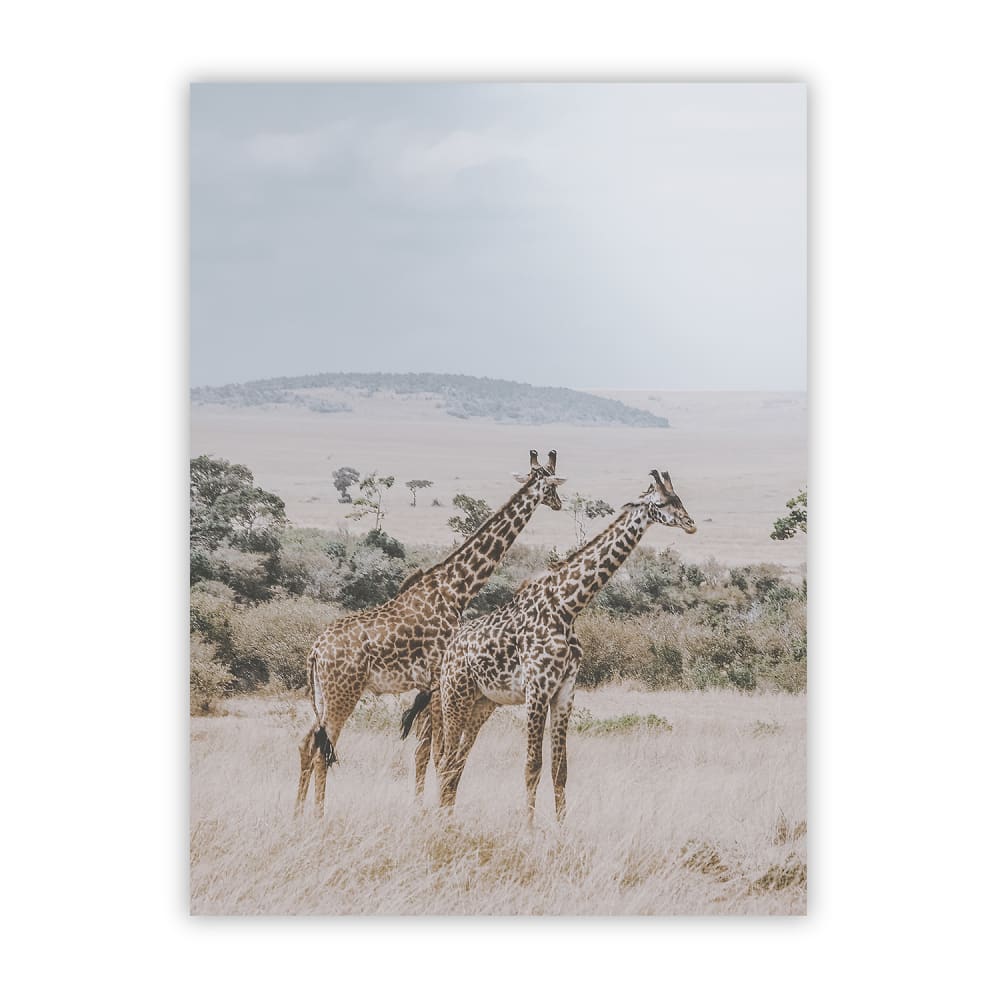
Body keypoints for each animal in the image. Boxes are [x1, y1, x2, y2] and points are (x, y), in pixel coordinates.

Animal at [295, 450, 566, 817]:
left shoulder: (430, 684)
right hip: (343, 694)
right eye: (551, 485)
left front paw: (422, 808)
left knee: (307, 743)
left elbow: (424, 750)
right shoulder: (439, 677)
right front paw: (436, 811)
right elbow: (437, 753)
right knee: (325, 750)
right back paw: (320, 816)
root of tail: (314, 653)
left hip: (324, 696)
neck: (456, 587)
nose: (560, 504)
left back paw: (298, 814)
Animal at [437, 469, 696, 822]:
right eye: (660, 502)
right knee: (444, 761)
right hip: (456, 696)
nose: (690, 523)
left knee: (456, 763)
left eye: (678, 498)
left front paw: (561, 829)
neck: (567, 606)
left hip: (483, 703)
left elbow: (560, 769)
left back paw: (448, 820)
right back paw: (437, 820)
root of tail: (448, 652)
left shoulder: (564, 692)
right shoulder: (536, 690)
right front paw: (529, 828)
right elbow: (532, 766)